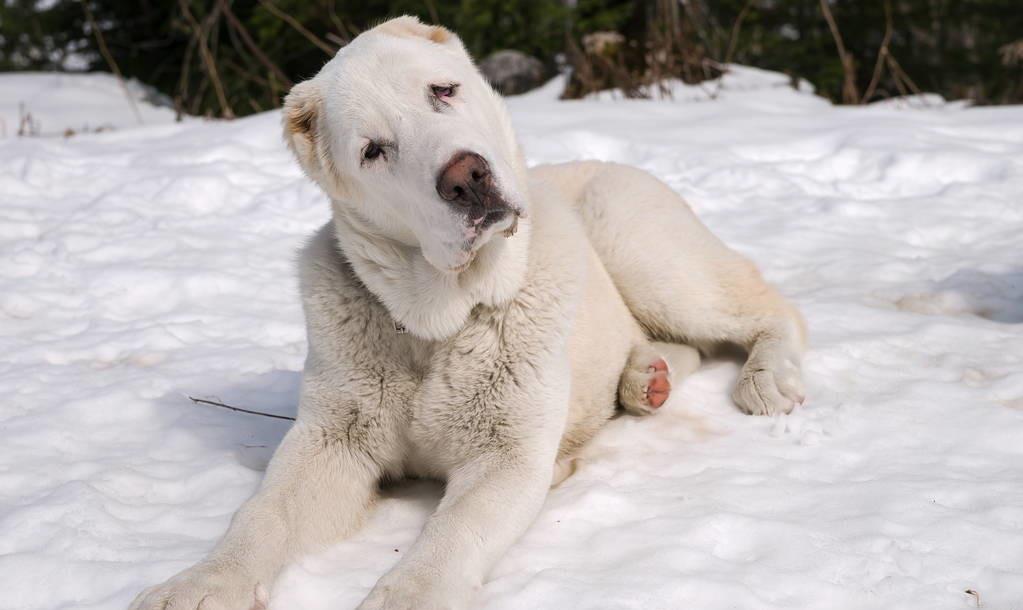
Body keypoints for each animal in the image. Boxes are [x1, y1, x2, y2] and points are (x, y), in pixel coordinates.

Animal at [131, 16, 806, 610]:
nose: (467, 176)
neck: (439, 325)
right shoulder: (330, 441)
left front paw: (408, 598)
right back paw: (646, 379)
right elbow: (262, 512)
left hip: (638, 246)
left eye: (443, 91)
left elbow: (451, 534)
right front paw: (201, 583)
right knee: (679, 344)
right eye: (373, 151)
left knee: (773, 310)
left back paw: (765, 380)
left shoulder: (506, 456)